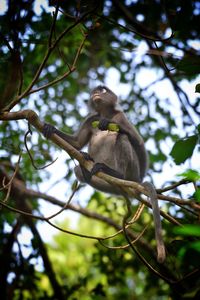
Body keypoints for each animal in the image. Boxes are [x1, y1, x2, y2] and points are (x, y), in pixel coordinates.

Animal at [43, 85, 166, 262]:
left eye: (103, 90)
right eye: (94, 91)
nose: (96, 93)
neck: (105, 113)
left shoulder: (120, 116)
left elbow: (138, 143)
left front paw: (108, 124)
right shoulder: (91, 118)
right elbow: (77, 143)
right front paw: (51, 128)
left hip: (134, 171)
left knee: (122, 137)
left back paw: (116, 173)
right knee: (78, 169)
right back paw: (87, 170)